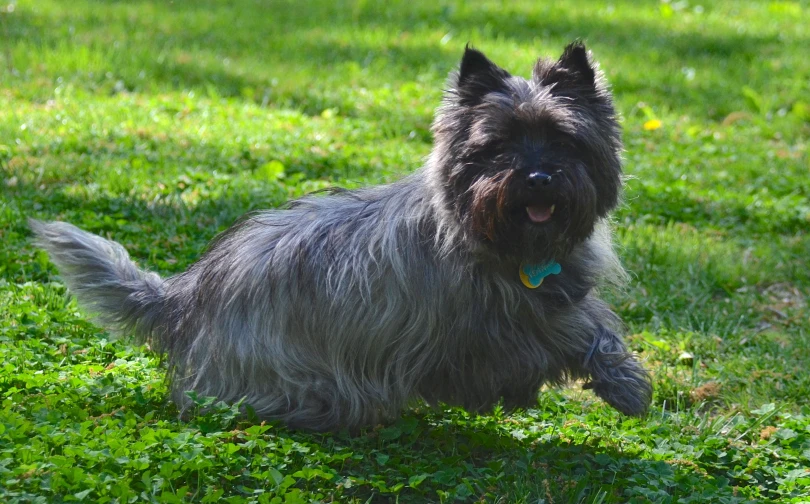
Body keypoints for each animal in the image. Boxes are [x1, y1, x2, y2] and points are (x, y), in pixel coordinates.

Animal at [31, 41, 652, 432]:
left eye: (564, 140)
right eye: (496, 147)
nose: (538, 178)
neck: (501, 241)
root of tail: (186, 296)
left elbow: (585, 320)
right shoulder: (483, 328)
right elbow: (574, 327)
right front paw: (624, 384)